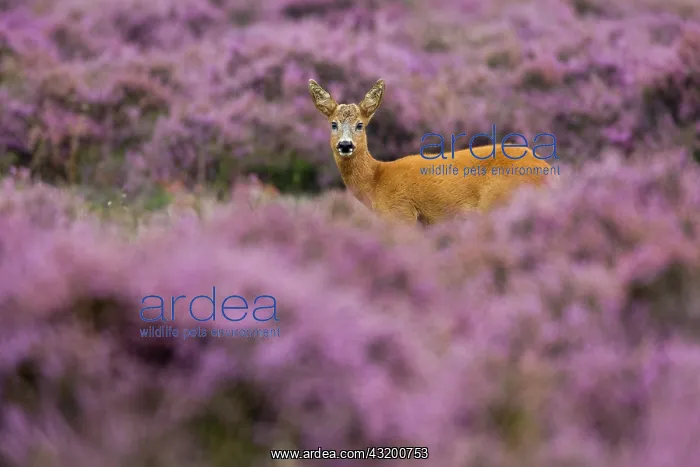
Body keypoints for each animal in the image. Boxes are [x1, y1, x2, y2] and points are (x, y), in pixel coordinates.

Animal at [308, 78, 557, 225]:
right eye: (333, 124)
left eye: (360, 124)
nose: (345, 145)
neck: (376, 181)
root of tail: (549, 173)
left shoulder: (401, 213)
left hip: (500, 200)